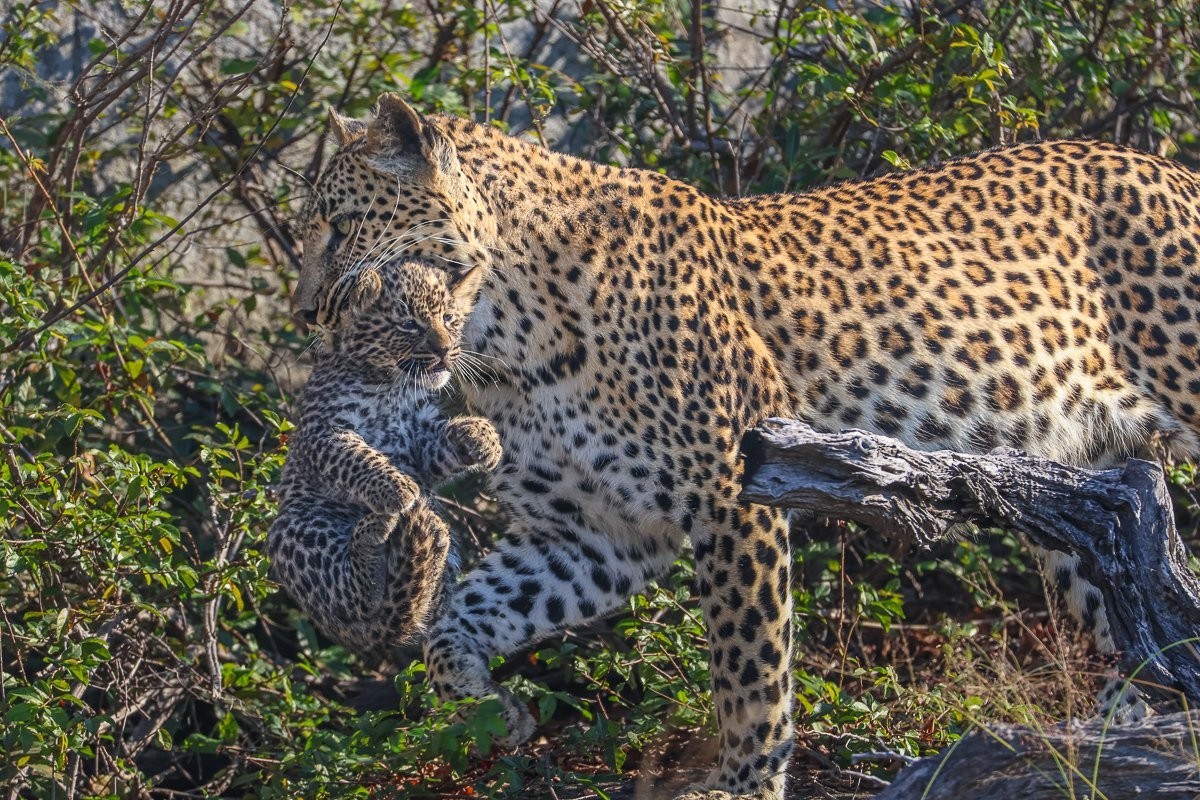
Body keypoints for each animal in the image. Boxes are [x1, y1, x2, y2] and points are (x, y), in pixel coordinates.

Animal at [268, 254, 501, 659]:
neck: (391, 386)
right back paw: (376, 531)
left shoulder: (419, 442)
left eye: (449, 319)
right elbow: (356, 457)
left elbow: (441, 445)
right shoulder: (323, 431)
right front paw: (399, 490)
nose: (444, 350)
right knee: (358, 599)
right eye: (409, 324)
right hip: (297, 533)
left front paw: (483, 437)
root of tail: (375, 640)